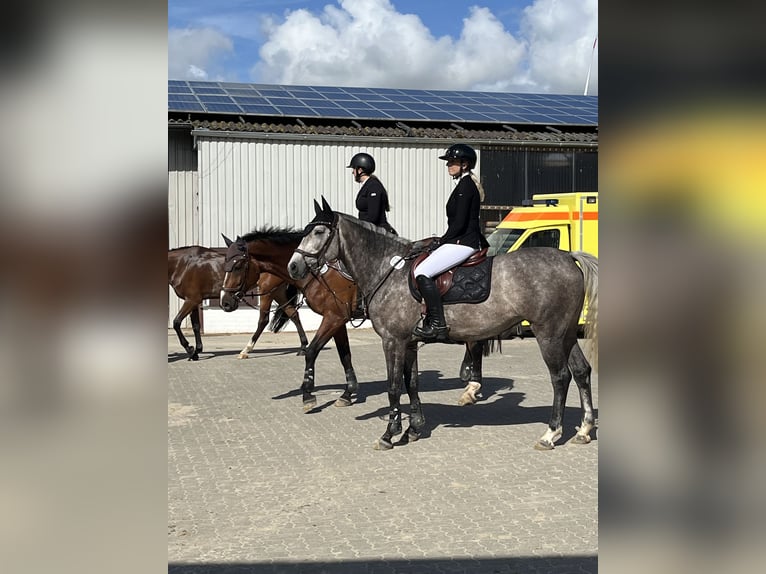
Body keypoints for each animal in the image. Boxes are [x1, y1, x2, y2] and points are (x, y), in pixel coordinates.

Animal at [168, 246, 308, 362]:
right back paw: (303, 347)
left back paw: (245, 350)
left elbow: (176, 323)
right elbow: (196, 326)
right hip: (278, 293)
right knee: (293, 314)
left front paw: (190, 351)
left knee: (263, 320)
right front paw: (196, 351)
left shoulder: (192, 300)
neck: (184, 264)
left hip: (267, 293)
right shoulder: (194, 301)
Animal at [288, 200, 600, 452]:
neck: (388, 269)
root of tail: (569, 257)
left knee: (560, 377)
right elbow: (411, 383)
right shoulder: (409, 342)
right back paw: (584, 431)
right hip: (566, 334)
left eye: (318, 232)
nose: (293, 267)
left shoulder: (392, 340)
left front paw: (389, 434)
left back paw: (550, 434)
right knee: (581, 371)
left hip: (549, 334)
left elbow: (393, 386)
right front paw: (413, 428)